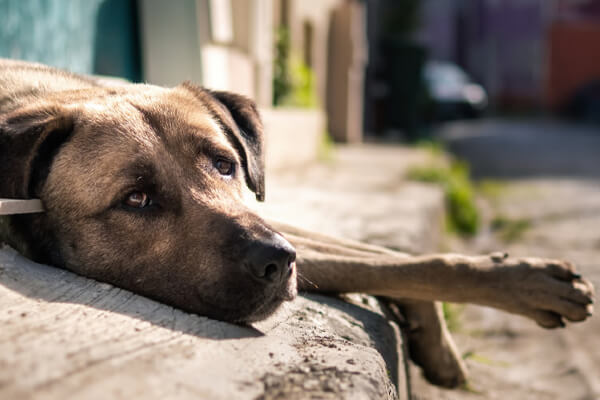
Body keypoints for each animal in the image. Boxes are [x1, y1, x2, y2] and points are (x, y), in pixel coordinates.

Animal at [0, 59, 592, 388]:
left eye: (225, 164)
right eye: (137, 198)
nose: (277, 260)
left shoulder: (270, 217)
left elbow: (391, 258)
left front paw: (512, 286)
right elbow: (381, 262)